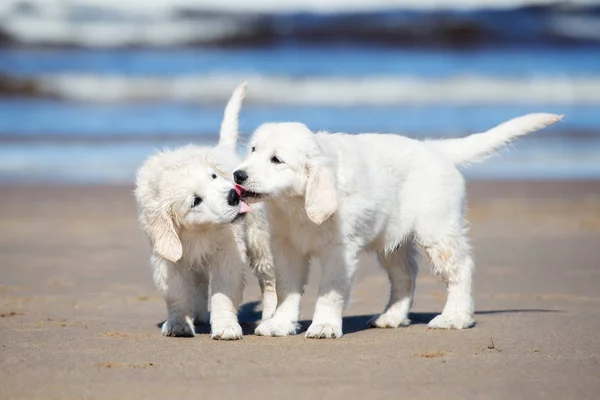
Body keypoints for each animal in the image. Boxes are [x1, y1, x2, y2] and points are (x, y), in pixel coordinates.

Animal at [135, 83, 276, 340]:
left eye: (213, 176)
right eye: (196, 201)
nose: (233, 195)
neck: (200, 231)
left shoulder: (228, 251)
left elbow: (223, 293)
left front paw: (226, 326)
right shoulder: (166, 254)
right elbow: (176, 292)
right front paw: (178, 323)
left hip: (257, 237)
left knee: (267, 275)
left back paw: (270, 311)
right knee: (198, 280)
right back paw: (198, 313)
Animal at [234, 114, 564, 340]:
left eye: (277, 160)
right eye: (252, 150)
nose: (238, 174)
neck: (296, 204)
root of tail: (437, 151)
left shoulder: (339, 252)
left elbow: (329, 291)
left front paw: (325, 325)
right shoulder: (286, 247)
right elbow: (287, 289)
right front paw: (280, 323)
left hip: (437, 231)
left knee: (461, 269)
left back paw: (455, 317)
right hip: (393, 242)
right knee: (406, 276)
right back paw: (392, 316)